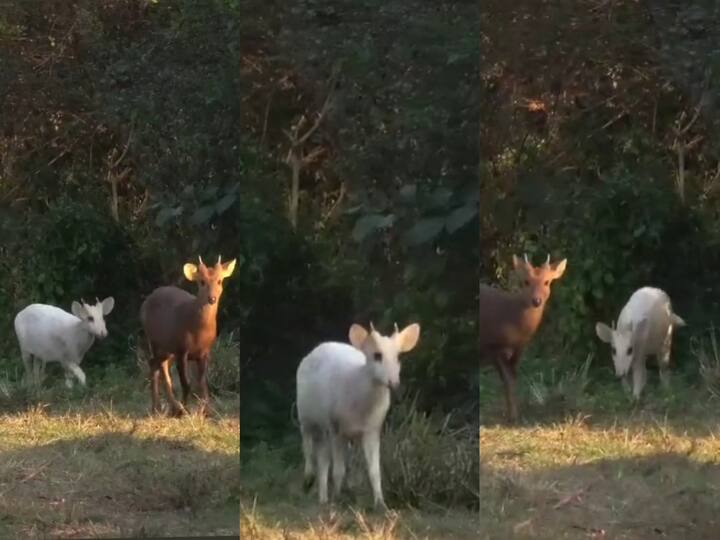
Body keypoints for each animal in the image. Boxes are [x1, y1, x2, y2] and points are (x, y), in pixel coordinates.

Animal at [142, 255, 238, 416]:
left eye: (219, 281)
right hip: (155, 340)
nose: (212, 298)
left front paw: (205, 411)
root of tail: (146, 301)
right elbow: (186, 383)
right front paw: (185, 410)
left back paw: (168, 407)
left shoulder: (204, 352)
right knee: (155, 365)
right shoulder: (182, 349)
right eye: (202, 281)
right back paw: (161, 408)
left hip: (168, 349)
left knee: (159, 365)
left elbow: (202, 382)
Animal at [478, 253, 568, 422]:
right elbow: (508, 380)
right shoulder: (492, 345)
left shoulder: (519, 348)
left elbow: (512, 378)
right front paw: (512, 416)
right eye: (526, 281)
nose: (536, 300)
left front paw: (513, 413)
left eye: (547, 282)